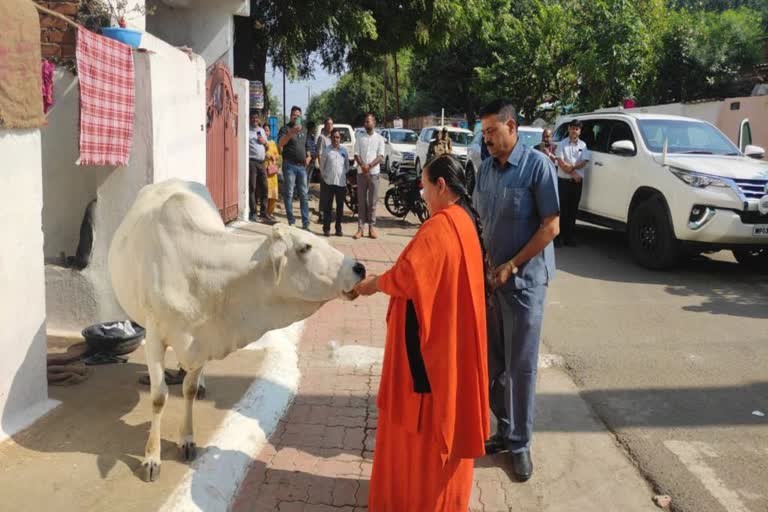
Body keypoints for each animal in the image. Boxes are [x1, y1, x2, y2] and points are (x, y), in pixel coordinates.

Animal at [107, 179, 366, 480]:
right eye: (305, 247)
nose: (359, 268)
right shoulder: (155, 336)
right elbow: (159, 398)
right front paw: (152, 457)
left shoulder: (203, 338)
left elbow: (189, 390)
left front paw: (187, 439)